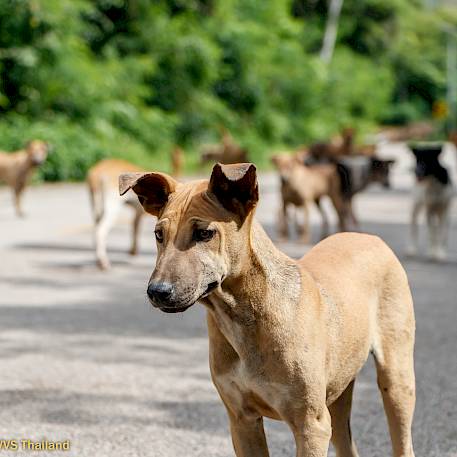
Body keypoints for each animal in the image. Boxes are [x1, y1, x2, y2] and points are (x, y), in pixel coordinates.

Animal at [119, 164, 416, 456]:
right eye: (158, 235)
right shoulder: (242, 420)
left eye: (204, 233)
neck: (242, 315)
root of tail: (370, 237)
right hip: (339, 391)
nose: (157, 291)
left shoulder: (311, 425)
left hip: (396, 379)